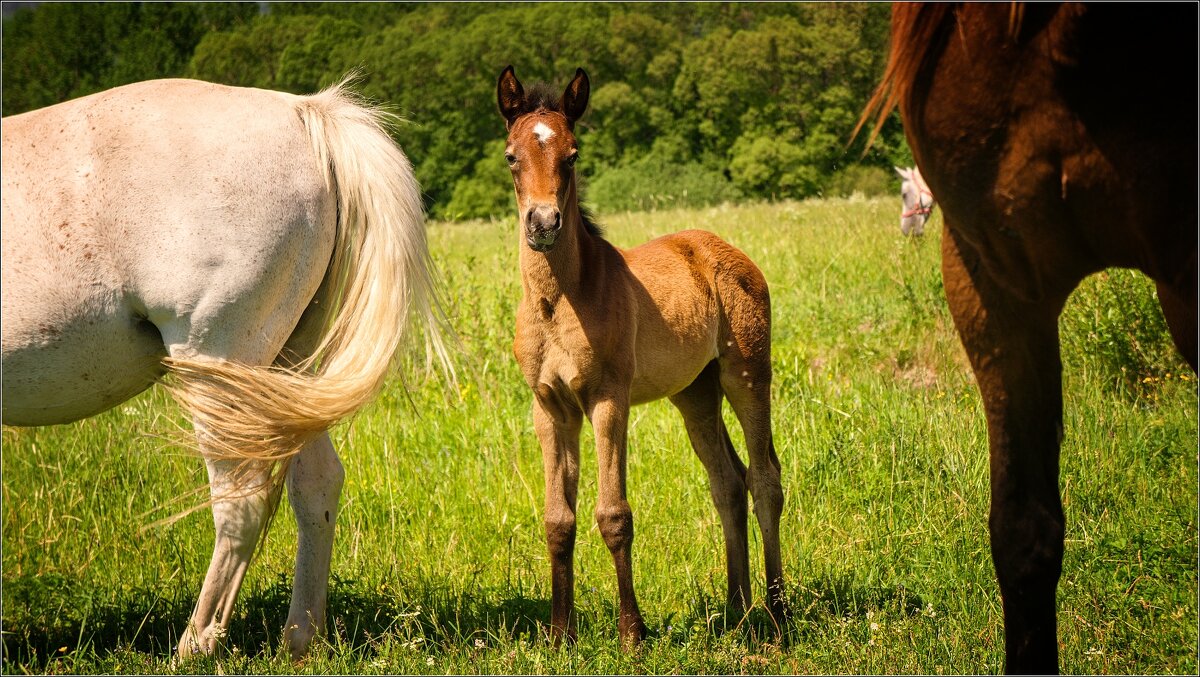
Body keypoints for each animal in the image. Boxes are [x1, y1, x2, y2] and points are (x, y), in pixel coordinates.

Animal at [0, 76, 446, 657]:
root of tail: (304, 111)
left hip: (219, 364)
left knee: (243, 502)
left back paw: (196, 642)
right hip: (286, 374)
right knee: (317, 485)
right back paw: (300, 639)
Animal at [496, 67, 787, 643]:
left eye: (573, 155)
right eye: (512, 156)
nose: (543, 223)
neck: (558, 303)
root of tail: (723, 248)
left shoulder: (608, 401)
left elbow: (614, 514)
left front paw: (633, 632)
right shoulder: (549, 407)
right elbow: (558, 520)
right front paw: (560, 634)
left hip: (746, 373)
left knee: (766, 478)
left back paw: (777, 611)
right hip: (695, 392)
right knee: (728, 482)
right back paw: (736, 609)